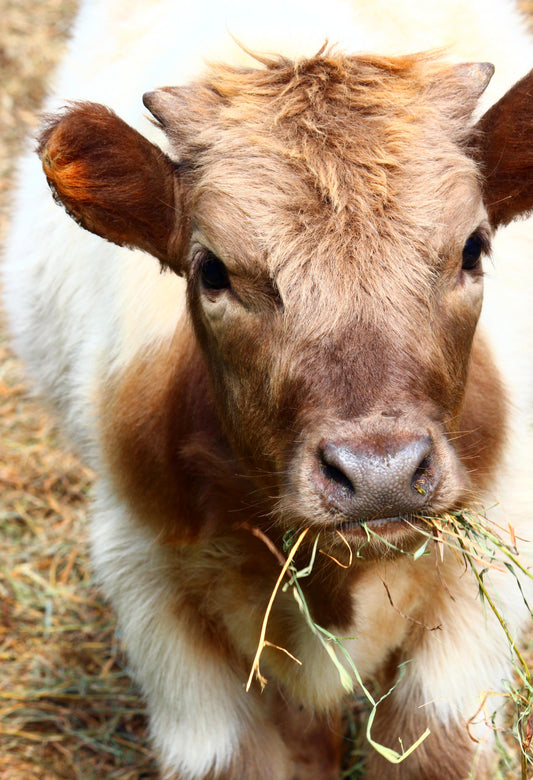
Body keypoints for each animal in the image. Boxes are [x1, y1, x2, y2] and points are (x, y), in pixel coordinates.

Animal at [4, 0, 532, 776]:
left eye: (472, 248)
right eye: (213, 271)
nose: (380, 473)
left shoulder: (482, 573)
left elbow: (432, 746)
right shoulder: (154, 595)